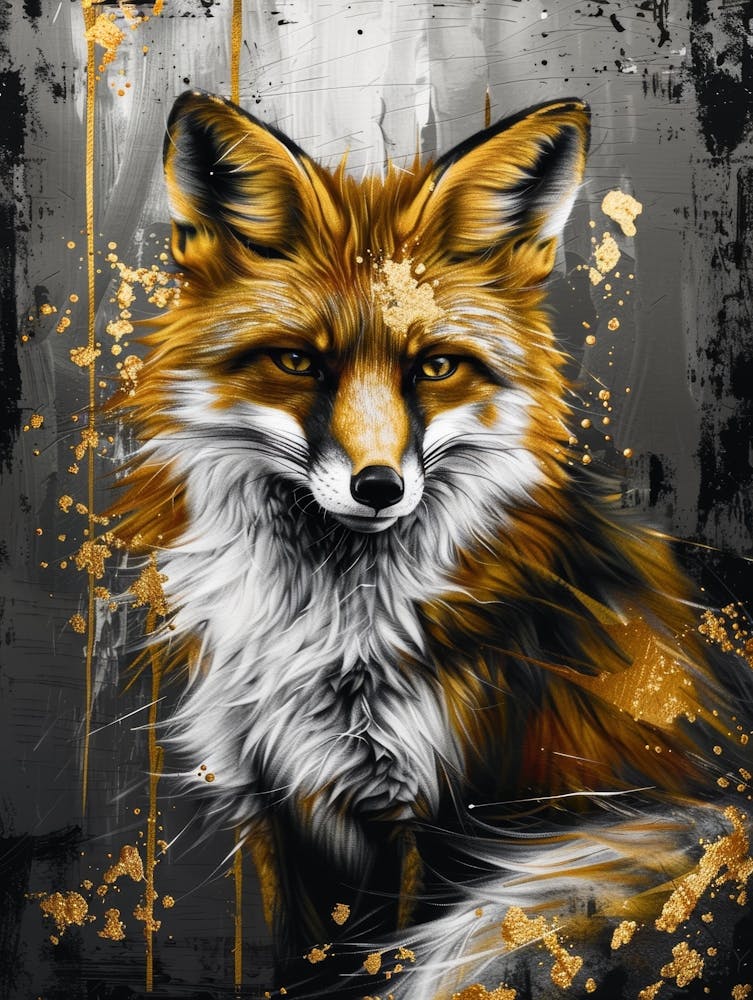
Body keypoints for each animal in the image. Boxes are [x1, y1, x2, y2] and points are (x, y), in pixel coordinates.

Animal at [111, 90, 753, 998]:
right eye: (298, 362)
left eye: (435, 367)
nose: (378, 487)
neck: (325, 633)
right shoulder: (285, 807)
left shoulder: (457, 816)